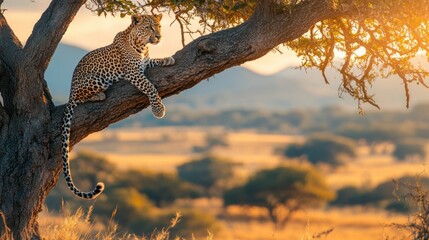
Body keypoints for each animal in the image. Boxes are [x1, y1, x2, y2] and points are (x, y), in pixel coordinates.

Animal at [59, 14, 175, 200]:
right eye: (149, 28)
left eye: (159, 26)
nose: (159, 37)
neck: (141, 46)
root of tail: (70, 91)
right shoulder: (133, 73)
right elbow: (150, 87)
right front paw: (158, 110)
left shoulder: (144, 64)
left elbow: (153, 61)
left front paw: (167, 59)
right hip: (94, 79)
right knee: (81, 98)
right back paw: (98, 95)